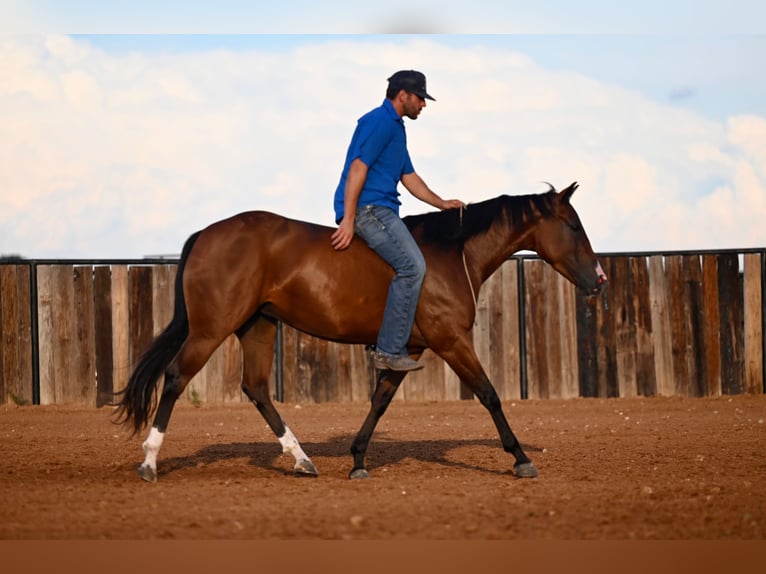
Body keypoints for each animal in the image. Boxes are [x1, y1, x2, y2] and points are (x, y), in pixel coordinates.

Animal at [114, 182, 608, 484]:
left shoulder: (410, 350)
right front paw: (521, 457)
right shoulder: (451, 341)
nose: (600, 278)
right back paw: (149, 461)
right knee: (176, 378)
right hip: (211, 328)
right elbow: (489, 394)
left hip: (258, 326)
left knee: (255, 388)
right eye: (573, 225)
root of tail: (206, 233)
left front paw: (356, 459)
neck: (452, 254)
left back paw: (301, 458)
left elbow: (380, 401)